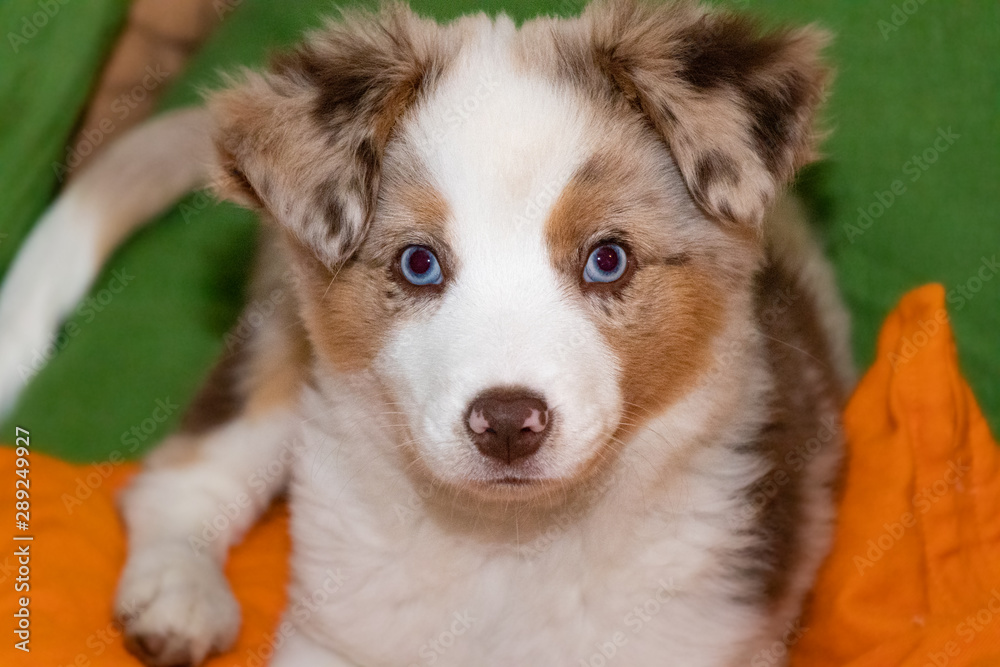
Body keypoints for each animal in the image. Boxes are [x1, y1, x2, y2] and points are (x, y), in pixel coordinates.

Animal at [1, 1, 860, 667]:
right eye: (419, 264)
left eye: (607, 258)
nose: (507, 422)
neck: (508, 542)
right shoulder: (335, 636)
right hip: (283, 348)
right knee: (184, 475)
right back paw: (178, 593)